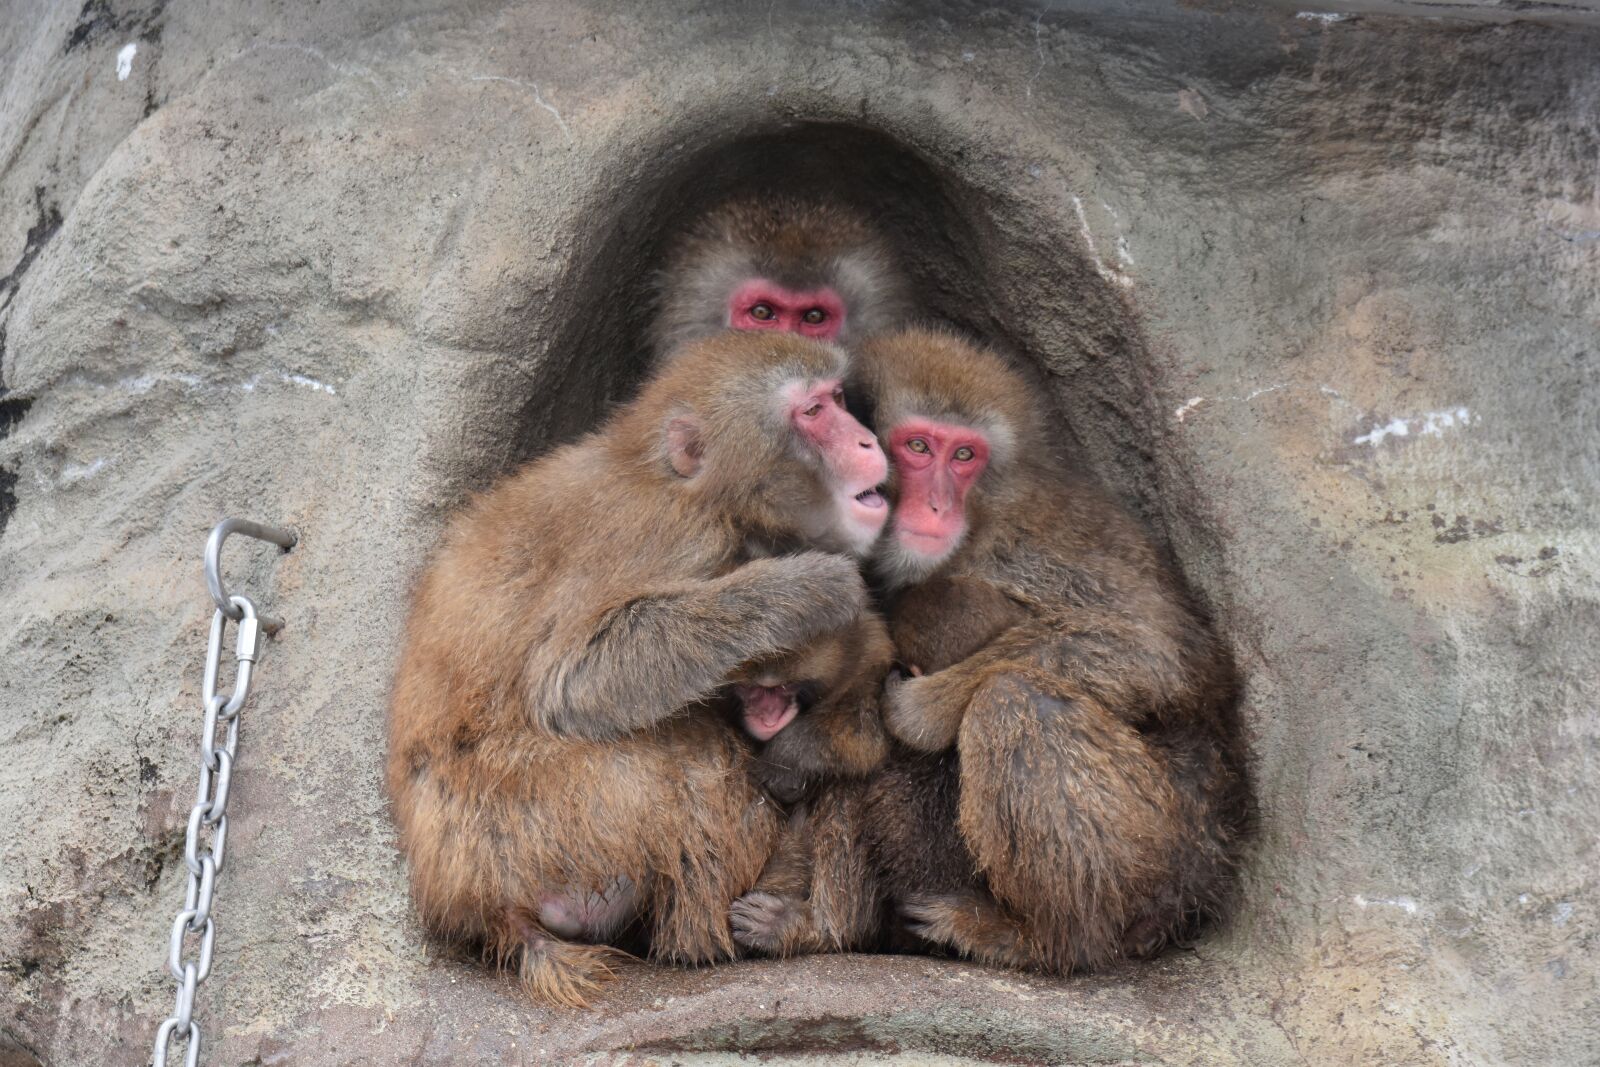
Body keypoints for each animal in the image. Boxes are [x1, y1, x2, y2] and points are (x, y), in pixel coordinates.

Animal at [386, 331, 893, 1007]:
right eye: (812, 413)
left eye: (837, 398)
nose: (866, 440)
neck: (682, 484)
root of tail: (481, 900)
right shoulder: (675, 536)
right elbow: (573, 682)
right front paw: (806, 589)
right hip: (571, 817)